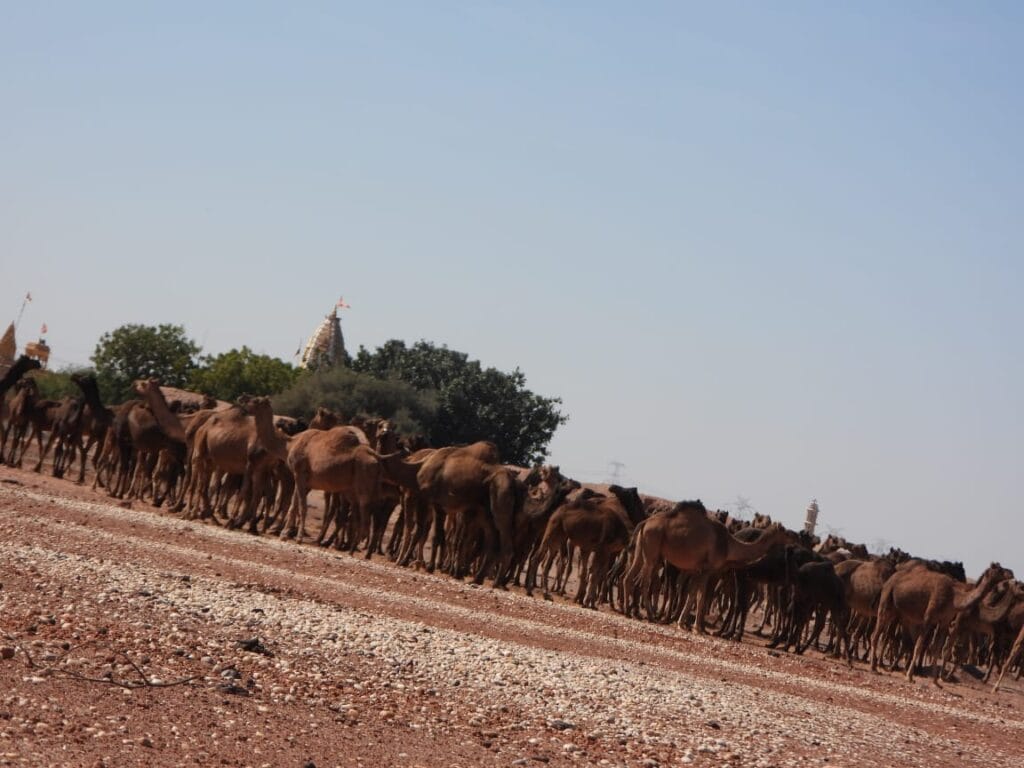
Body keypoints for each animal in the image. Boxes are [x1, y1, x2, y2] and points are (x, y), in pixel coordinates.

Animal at [621, 500, 793, 633]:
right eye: (787, 532)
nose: (796, 541)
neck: (729, 546)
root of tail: (645, 522)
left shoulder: (698, 569)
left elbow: (691, 594)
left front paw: (682, 623)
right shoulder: (707, 569)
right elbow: (701, 595)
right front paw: (696, 627)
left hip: (641, 549)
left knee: (629, 576)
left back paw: (628, 611)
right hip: (653, 547)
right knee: (644, 582)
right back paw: (649, 615)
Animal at [870, 560, 1013, 683]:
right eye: (999, 569)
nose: (1011, 573)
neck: (954, 598)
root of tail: (889, 580)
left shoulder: (944, 621)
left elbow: (937, 649)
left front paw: (935, 681)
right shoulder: (928, 618)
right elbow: (919, 646)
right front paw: (910, 677)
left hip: (898, 613)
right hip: (886, 602)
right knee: (877, 634)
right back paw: (874, 668)